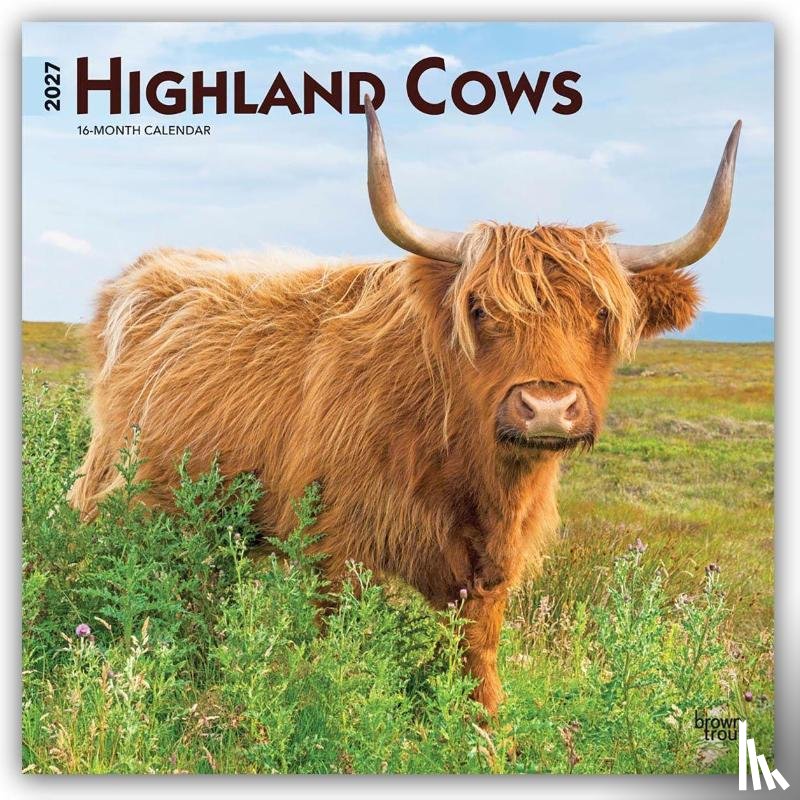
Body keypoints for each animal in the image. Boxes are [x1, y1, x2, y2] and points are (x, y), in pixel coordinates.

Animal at [69, 98, 741, 715]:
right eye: (481, 309)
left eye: (603, 313)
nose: (547, 407)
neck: (465, 465)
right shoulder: (333, 543)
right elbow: (335, 649)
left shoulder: (489, 569)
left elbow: (477, 661)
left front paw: (488, 736)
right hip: (118, 493)